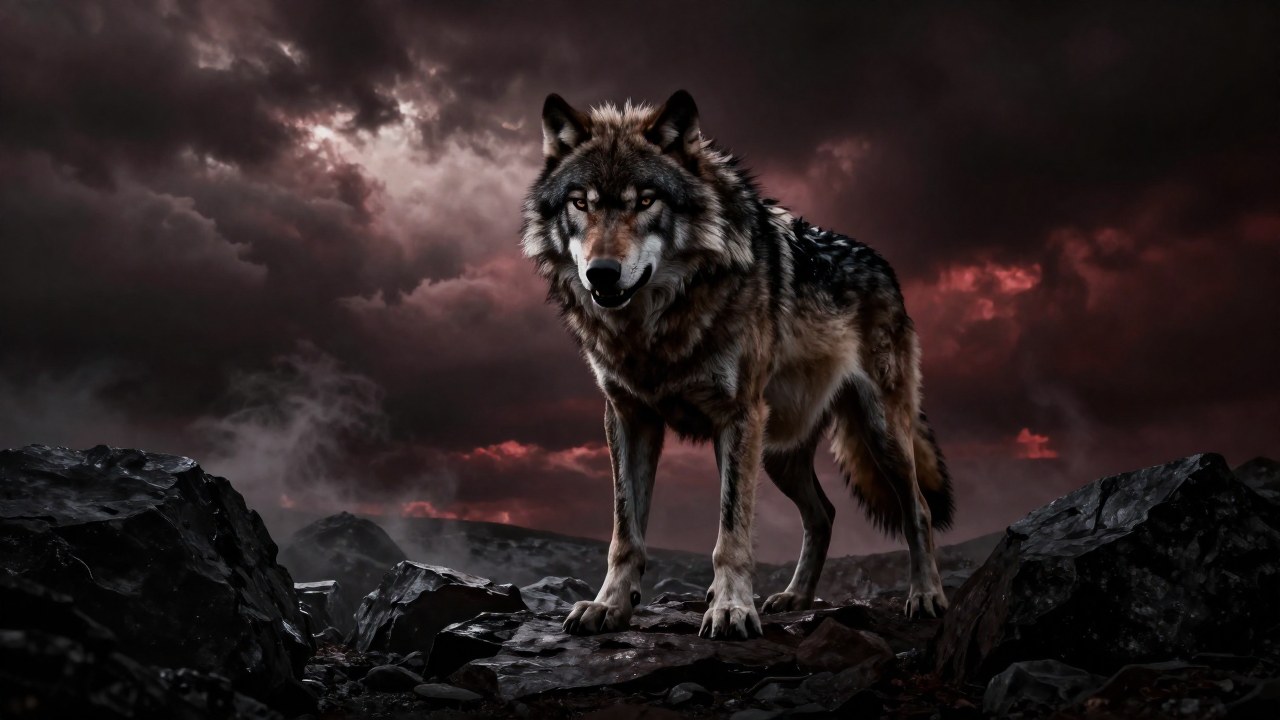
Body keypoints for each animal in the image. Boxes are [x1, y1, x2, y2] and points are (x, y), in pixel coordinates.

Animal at [521, 90, 954, 640]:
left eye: (646, 201)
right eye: (581, 203)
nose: (601, 273)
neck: (655, 331)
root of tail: (885, 267)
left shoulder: (738, 416)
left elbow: (731, 533)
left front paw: (729, 609)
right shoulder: (628, 416)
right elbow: (626, 532)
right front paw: (609, 605)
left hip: (875, 433)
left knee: (915, 507)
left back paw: (926, 595)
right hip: (777, 452)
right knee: (824, 514)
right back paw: (795, 597)